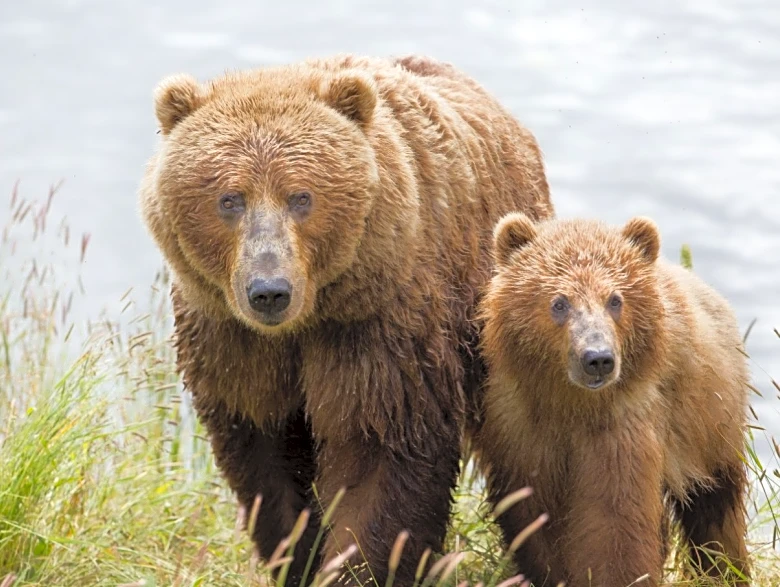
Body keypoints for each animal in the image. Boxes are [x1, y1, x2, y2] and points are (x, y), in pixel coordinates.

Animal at [137, 54, 554, 586]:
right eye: (230, 199)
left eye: (301, 196)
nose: (269, 291)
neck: (305, 320)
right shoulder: (233, 341)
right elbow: (264, 459)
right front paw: (295, 554)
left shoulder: (376, 329)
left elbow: (377, 456)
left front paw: (355, 566)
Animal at [475, 212, 751, 587]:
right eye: (559, 302)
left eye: (615, 299)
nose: (598, 358)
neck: (571, 404)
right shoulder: (523, 430)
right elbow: (535, 515)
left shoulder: (620, 425)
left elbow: (614, 520)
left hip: (710, 420)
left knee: (715, 508)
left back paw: (725, 570)